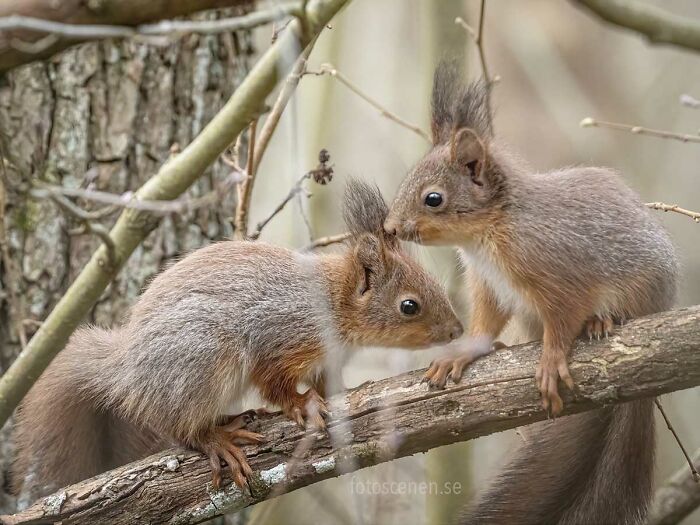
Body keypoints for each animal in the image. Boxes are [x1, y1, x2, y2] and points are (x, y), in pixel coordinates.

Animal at [14, 178, 463, 502]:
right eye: (409, 306)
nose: (457, 331)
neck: (334, 305)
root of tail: (126, 370)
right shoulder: (280, 337)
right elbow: (276, 384)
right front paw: (302, 404)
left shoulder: (325, 358)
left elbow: (324, 382)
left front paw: (330, 394)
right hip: (202, 359)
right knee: (180, 429)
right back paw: (218, 439)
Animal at [384, 62, 678, 524]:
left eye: (433, 198)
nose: (390, 229)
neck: (487, 234)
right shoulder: (488, 285)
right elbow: (485, 324)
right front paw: (463, 352)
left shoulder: (560, 274)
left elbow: (563, 318)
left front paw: (552, 358)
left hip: (642, 290)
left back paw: (603, 320)